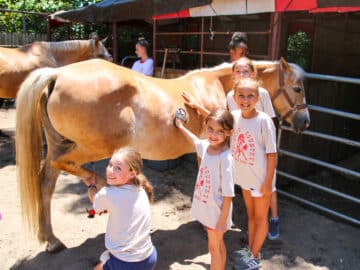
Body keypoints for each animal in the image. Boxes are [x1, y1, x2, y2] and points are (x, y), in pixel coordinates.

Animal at [15, 57, 310, 251]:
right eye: (297, 88)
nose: (305, 121)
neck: (212, 85)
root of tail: (56, 74)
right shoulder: (209, 146)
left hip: (61, 144)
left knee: (46, 183)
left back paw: (52, 240)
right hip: (91, 148)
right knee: (63, 164)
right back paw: (99, 183)